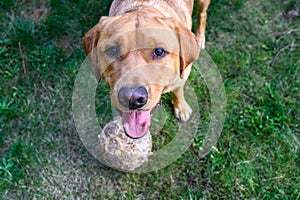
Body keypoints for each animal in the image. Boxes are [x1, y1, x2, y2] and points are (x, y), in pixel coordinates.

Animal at [83, 0, 210, 138]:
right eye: (113, 50)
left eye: (159, 51)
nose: (132, 98)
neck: (143, 6)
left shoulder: (182, 76)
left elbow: (178, 91)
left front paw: (181, 108)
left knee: (202, 14)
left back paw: (200, 38)